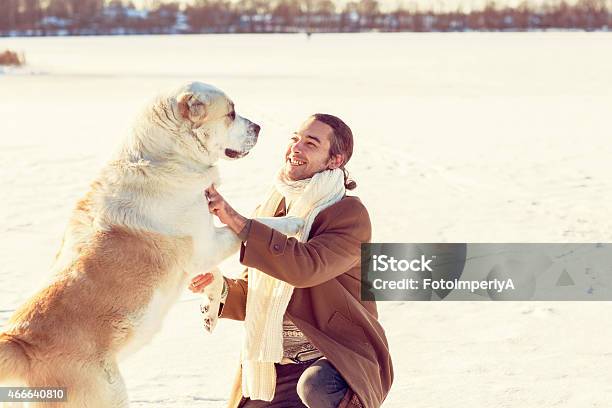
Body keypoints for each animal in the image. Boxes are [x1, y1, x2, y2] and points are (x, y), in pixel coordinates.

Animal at [0, 81, 302, 406]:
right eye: (231, 113)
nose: (258, 127)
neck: (167, 157)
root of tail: (20, 344)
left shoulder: (199, 252)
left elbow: (215, 274)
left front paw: (210, 311)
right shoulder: (205, 245)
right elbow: (250, 226)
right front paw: (292, 222)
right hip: (109, 392)